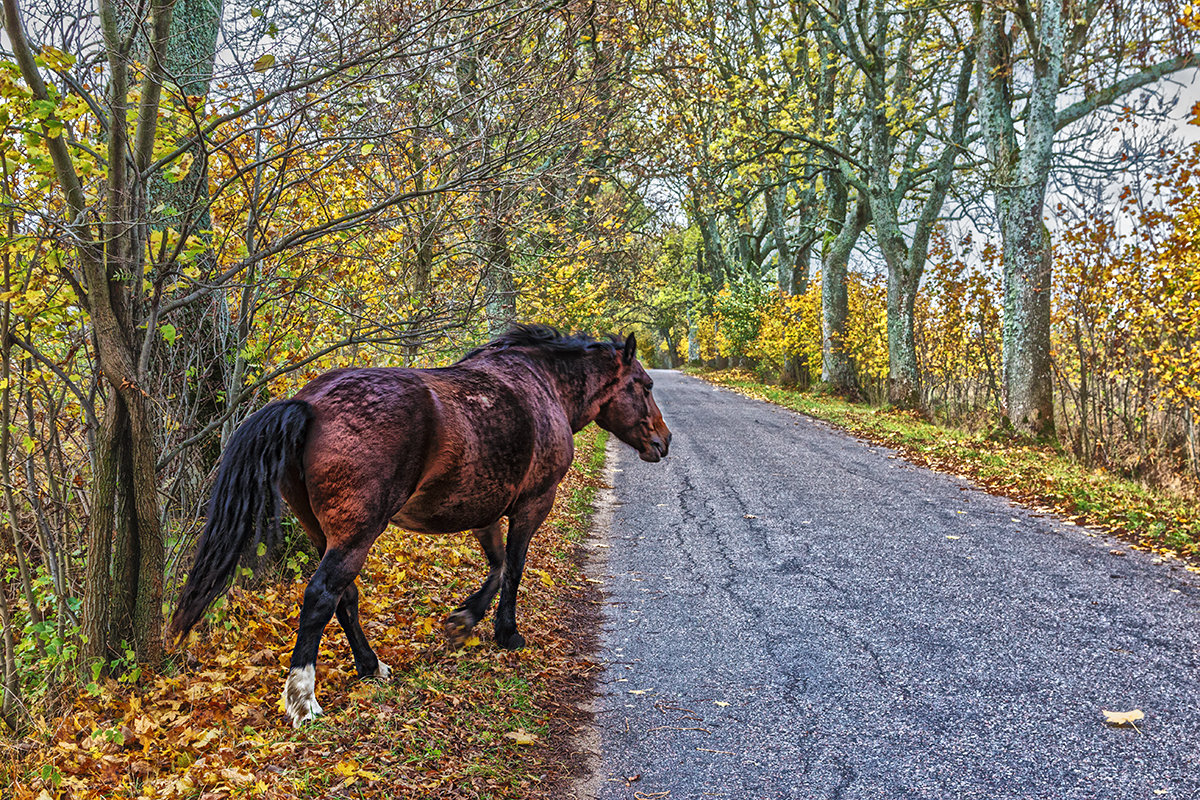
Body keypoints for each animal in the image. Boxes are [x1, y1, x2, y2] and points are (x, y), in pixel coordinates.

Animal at [169, 323, 672, 724]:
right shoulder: (533, 503)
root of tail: (306, 405)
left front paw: (465, 619)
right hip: (356, 534)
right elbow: (514, 568)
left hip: (324, 533)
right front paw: (506, 632)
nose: (663, 442)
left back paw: (370, 666)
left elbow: (496, 566)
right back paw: (304, 698)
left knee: (344, 597)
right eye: (645, 385)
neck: (542, 386)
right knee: (321, 596)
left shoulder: (483, 510)